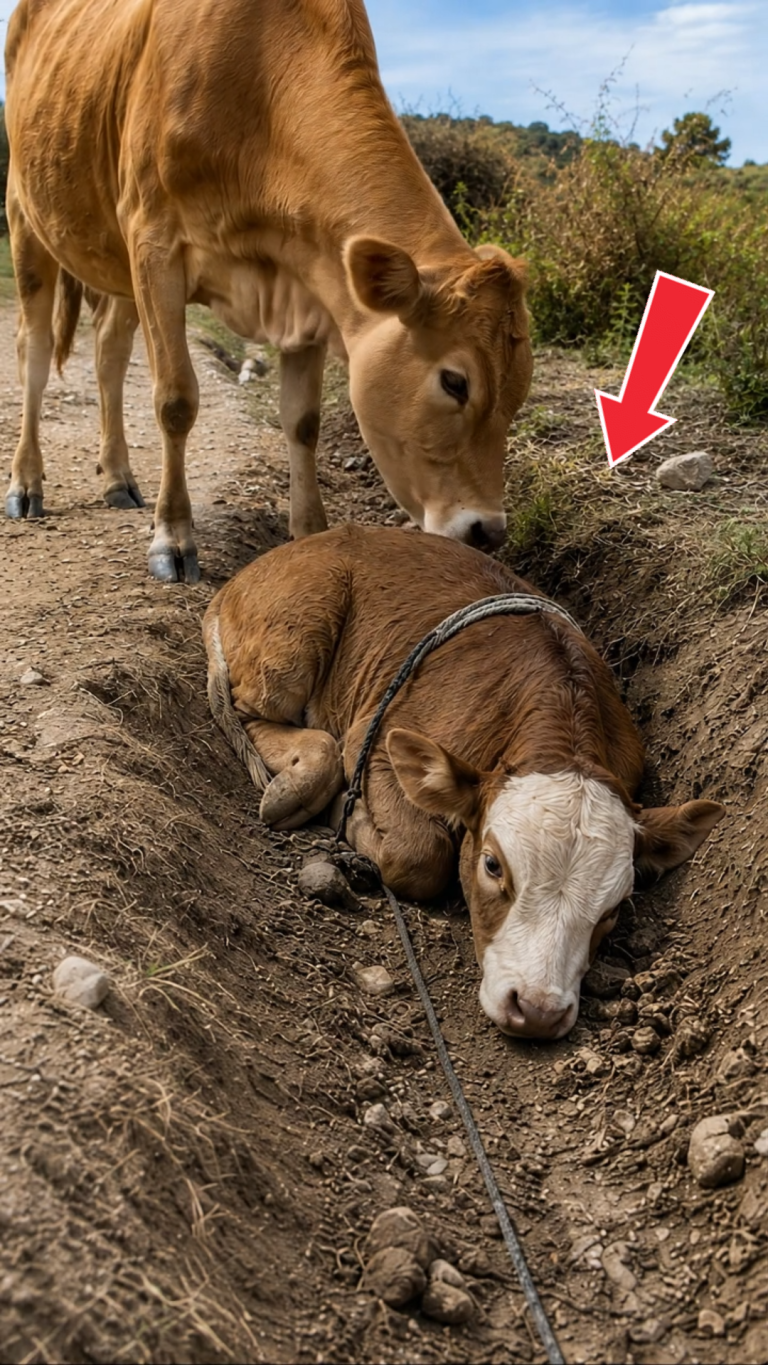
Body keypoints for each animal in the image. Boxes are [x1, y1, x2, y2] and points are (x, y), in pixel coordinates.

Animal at [4, 0, 533, 583]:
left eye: (521, 389)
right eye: (455, 382)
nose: (487, 530)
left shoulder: (308, 281)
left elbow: (302, 421)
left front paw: (312, 535)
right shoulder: (153, 242)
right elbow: (175, 400)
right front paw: (172, 539)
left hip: (114, 264)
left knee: (109, 355)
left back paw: (118, 477)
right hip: (25, 215)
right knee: (33, 351)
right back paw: (26, 484)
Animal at [203, 524, 724, 1040]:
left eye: (616, 906)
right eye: (492, 865)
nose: (537, 1010)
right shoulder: (373, 736)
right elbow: (422, 855)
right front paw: (348, 821)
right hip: (293, 644)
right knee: (251, 712)